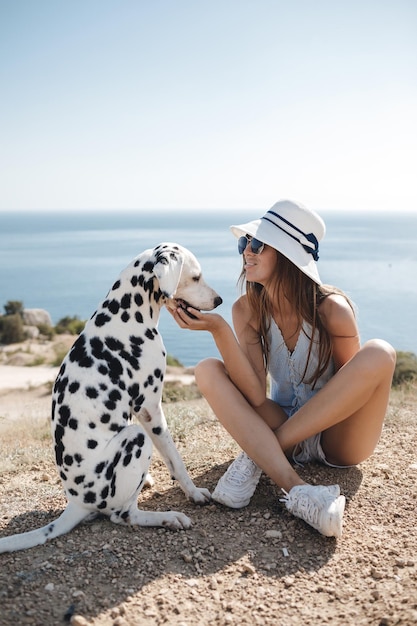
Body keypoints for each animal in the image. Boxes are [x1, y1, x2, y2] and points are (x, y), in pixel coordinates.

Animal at [0, 241, 221, 548]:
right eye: (196, 277)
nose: (220, 300)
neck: (125, 316)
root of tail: (77, 503)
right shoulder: (150, 409)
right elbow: (175, 458)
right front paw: (194, 492)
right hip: (136, 438)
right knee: (124, 514)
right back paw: (167, 518)